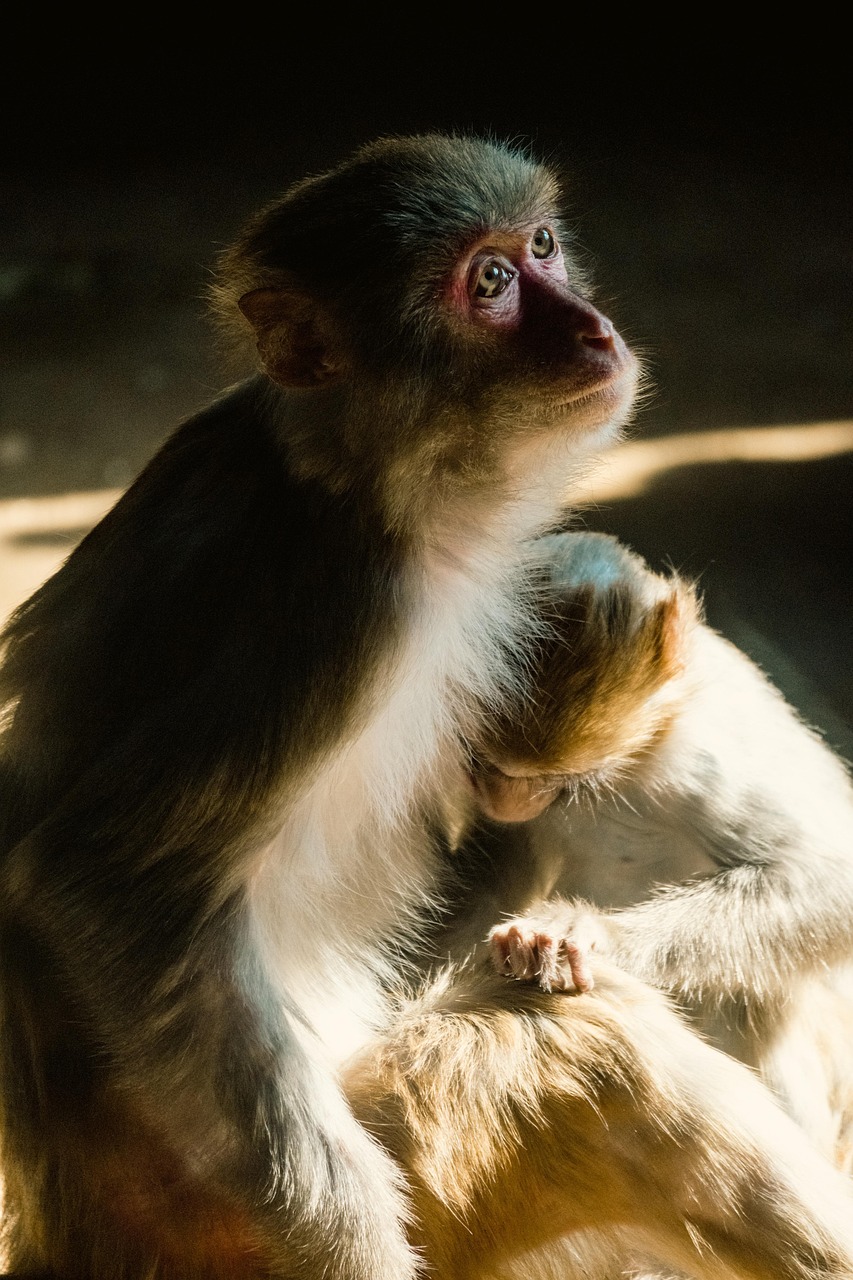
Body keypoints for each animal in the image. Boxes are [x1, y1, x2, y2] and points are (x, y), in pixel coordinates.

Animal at [1, 133, 853, 1280]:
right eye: (488, 285)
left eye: (541, 248)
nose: (592, 329)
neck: (349, 480)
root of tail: (70, 1235)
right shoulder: (341, 612)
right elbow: (100, 889)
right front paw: (348, 1241)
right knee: (585, 1049)